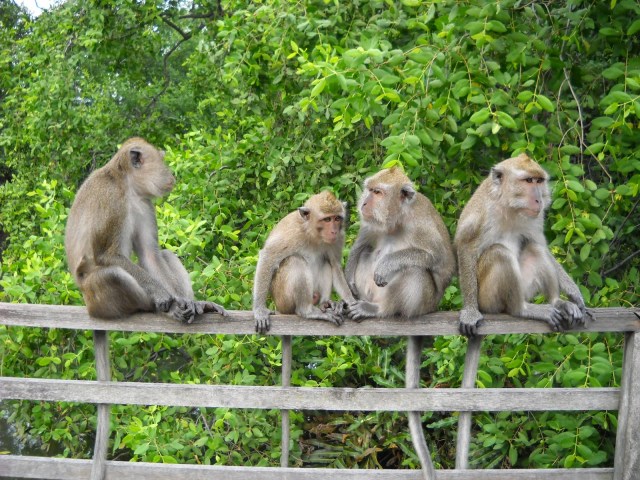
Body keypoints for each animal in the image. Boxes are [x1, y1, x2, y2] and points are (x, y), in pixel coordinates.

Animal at [66, 137, 226, 322]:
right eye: (162, 161)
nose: (171, 175)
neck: (127, 185)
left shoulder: (144, 204)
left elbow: (151, 255)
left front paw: (183, 300)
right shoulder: (112, 199)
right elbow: (106, 255)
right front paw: (163, 295)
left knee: (165, 254)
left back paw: (194, 304)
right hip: (98, 300)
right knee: (114, 274)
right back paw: (167, 309)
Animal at [254, 191, 356, 334]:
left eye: (337, 218)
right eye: (327, 219)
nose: (334, 231)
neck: (313, 234)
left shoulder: (339, 238)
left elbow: (335, 265)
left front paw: (351, 302)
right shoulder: (292, 233)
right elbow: (268, 257)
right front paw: (259, 310)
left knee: (326, 262)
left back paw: (325, 303)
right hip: (283, 301)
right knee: (295, 260)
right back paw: (307, 311)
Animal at [344, 167, 456, 320]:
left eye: (377, 192)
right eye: (370, 190)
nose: (364, 203)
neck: (397, 219)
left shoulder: (420, 224)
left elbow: (439, 258)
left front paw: (386, 263)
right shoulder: (371, 223)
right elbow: (359, 246)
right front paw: (349, 278)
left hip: (424, 306)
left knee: (415, 270)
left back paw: (378, 309)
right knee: (365, 252)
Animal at [452, 153, 592, 334]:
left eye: (539, 181)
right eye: (528, 180)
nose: (539, 199)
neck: (509, 207)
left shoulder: (536, 217)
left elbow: (540, 244)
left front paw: (575, 294)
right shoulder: (483, 214)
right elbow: (466, 248)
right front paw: (470, 312)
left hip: (525, 286)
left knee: (535, 249)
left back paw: (557, 302)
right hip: (487, 299)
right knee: (499, 253)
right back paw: (521, 309)